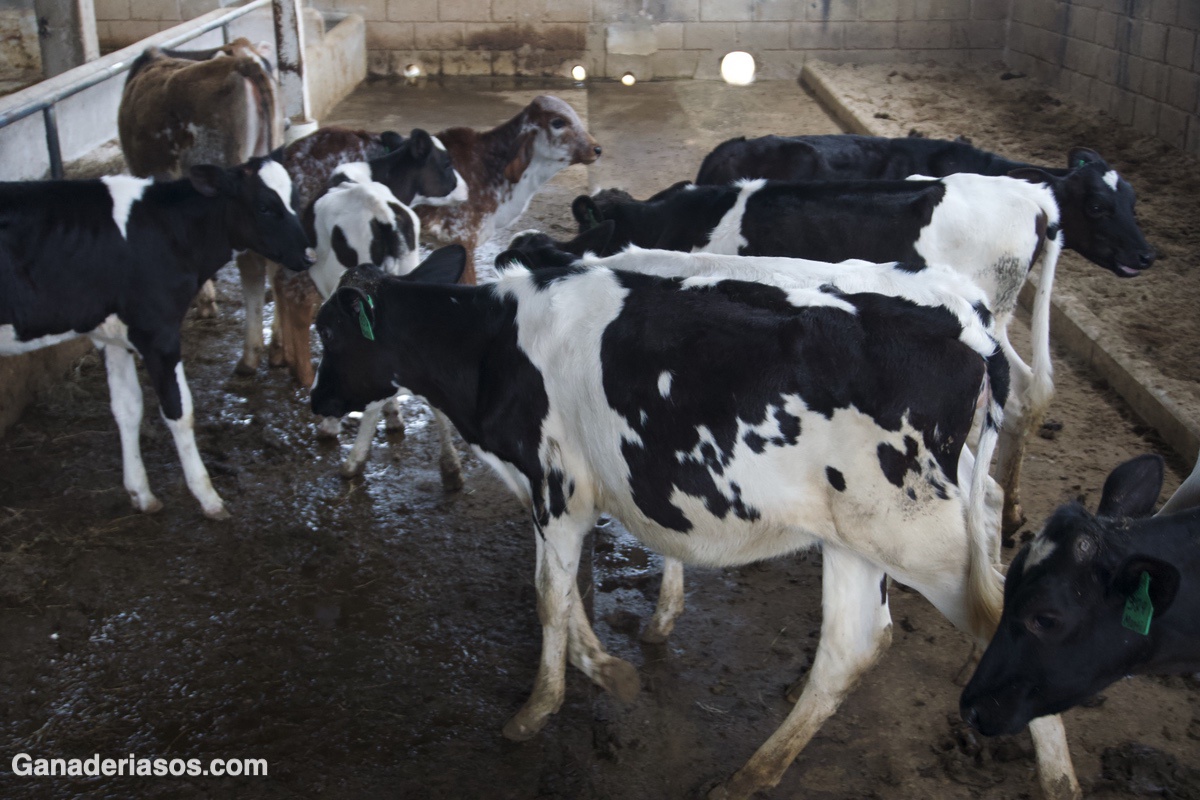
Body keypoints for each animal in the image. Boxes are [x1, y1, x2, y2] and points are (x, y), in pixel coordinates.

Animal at [0, 157, 313, 519]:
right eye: (264, 206)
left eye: (295, 199)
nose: (310, 255)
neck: (169, 232)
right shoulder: (158, 332)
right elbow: (179, 411)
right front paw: (208, 497)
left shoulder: (113, 335)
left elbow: (128, 407)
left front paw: (141, 493)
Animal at [310, 245, 1081, 800]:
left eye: (327, 331)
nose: (314, 398)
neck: (497, 346)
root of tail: (971, 322)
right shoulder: (563, 491)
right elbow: (561, 587)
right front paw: (609, 664)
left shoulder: (557, 485)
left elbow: (548, 597)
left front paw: (542, 705)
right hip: (855, 535)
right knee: (850, 647)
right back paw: (752, 775)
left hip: (917, 529)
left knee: (1001, 615)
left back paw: (1057, 779)